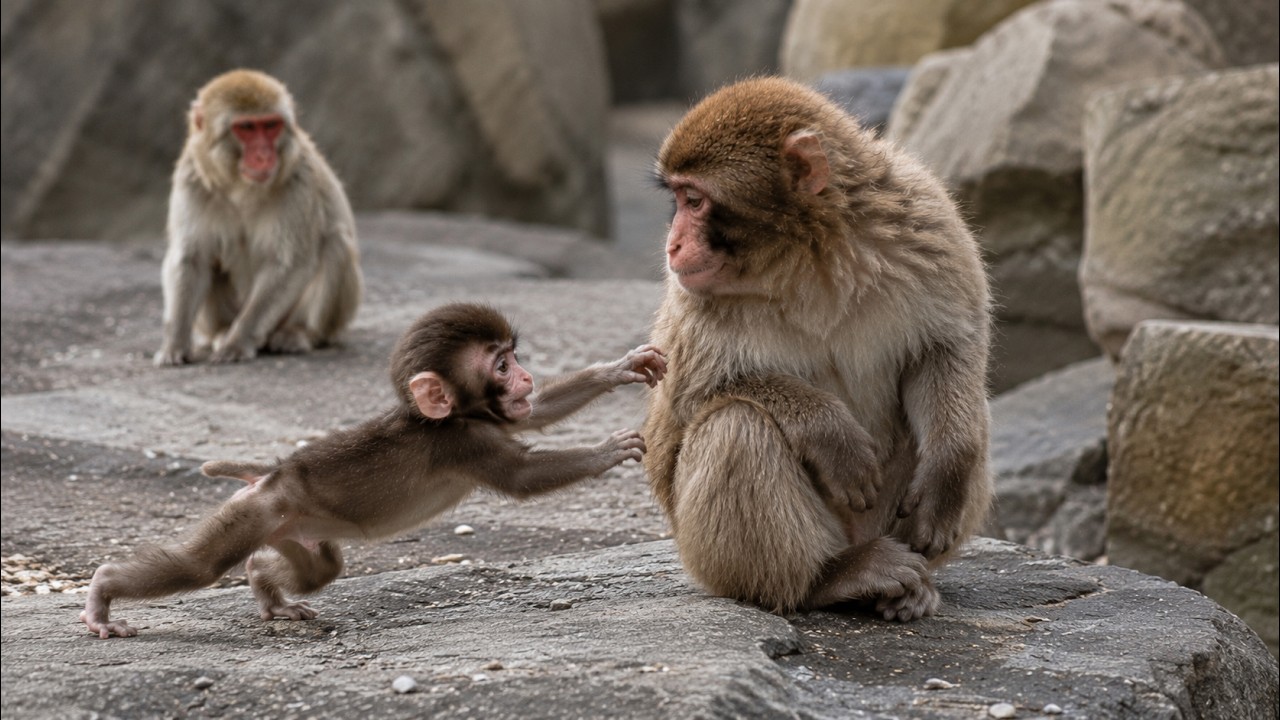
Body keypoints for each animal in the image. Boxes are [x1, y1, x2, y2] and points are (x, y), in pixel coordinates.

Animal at [83, 303, 667, 638]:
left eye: (516, 359)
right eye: (501, 365)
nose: (523, 377)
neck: (455, 414)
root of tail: (272, 474)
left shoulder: (492, 421)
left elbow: (538, 413)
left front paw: (620, 368)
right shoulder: (464, 443)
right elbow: (521, 476)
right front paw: (607, 451)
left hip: (295, 530)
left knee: (320, 569)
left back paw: (266, 588)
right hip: (256, 513)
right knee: (199, 568)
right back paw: (103, 596)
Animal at [154, 69, 363, 366]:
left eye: (271, 125)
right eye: (247, 128)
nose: (264, 155)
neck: (241, 188)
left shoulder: (299, 179)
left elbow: (289, 262)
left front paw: (238, 341)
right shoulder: (191, 178)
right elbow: (192, 258)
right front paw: (175, 342)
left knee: (336, 244)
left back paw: (299, 333)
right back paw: (222, 331)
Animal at [642, 77, 993, 621]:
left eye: (693, 200)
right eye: (679, 198)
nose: (673, 245)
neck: (808, 254)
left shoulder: (926, 220)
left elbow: (947, 347)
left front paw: (947, 476)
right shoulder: (693, 296)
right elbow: (691, 397)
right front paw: (830, 434)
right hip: (709, 558)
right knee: (738, 424)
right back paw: (829, 578)